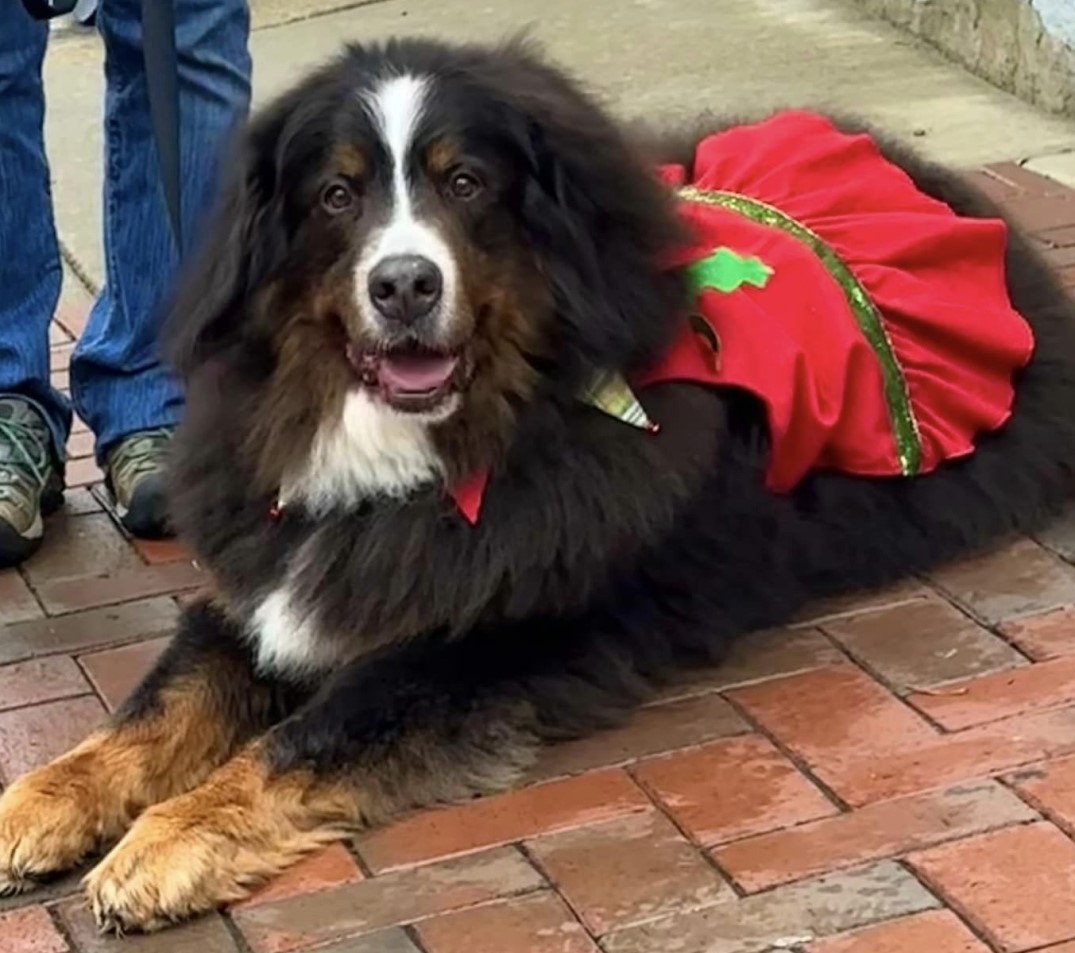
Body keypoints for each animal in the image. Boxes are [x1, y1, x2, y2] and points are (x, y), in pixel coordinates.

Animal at [2, 36, 1075, 933]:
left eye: (465, 183)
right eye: (338, 196)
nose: (403, 285)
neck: (411, 455)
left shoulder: (473, 644)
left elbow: (303, 735)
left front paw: (166, 840)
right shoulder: (265, 584)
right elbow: (146, 713)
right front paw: (34, 803)